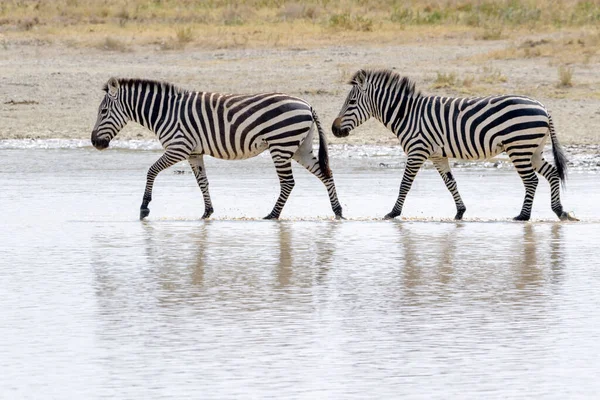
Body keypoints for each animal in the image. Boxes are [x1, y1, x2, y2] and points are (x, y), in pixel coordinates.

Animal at [89, 76, 342, 220]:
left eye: (103, 112)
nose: (94, 143)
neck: (164, 112)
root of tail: (307, 104)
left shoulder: (179, 147)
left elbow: (151, 171)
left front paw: (144, 207)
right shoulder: (193, 152)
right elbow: (203, 182)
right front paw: (207, 212)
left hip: (281, 145)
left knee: (289, 183)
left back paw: (272, 215)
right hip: (301, 148)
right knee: (326, 174)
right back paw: (338, 211)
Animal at [330, 70, 576, 223]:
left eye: (351, 102)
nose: (333, 129)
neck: (406, 114)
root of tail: (543, 107)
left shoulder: (417, 150)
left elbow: (405, 184)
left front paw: (393, 212)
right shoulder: (437, 155)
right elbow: (450, 183)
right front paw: (460, 212)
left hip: (519, 147)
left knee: (531, 180)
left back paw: (523, 216)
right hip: (533, 149)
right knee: (552, 174)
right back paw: (560, 211)